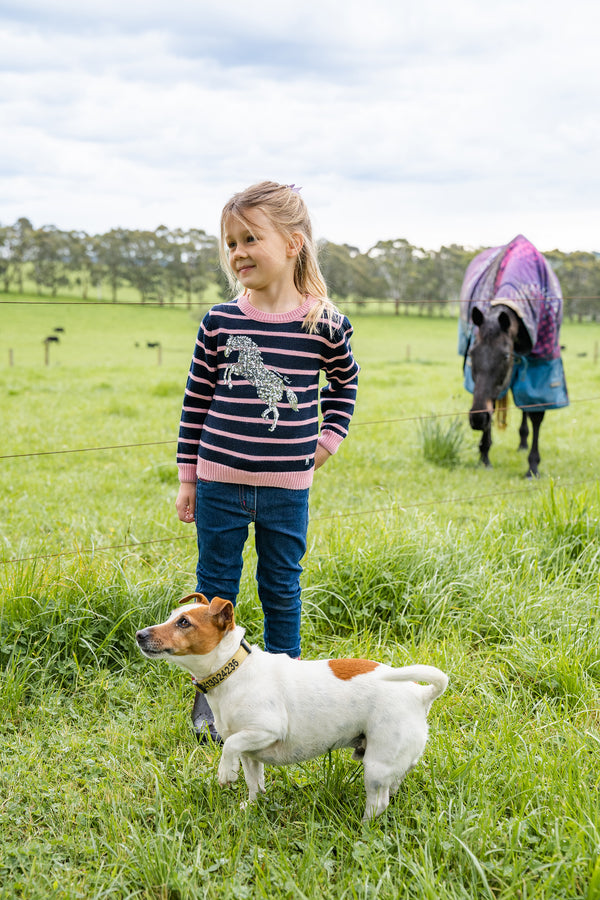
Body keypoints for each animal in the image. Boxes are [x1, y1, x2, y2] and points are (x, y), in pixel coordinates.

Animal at [135, 596, 446, 820]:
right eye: (172, 617)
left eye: (184, 622)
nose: (139, 634)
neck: (234, 670)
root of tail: (420, 694)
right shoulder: (250, 753)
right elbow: (254, 783)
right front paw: (251, 807)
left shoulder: (266, 730)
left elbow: (229, 747)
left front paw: (225, 773)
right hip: (389, 760)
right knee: (394, 785)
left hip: (376, 766)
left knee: (378, 803)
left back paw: (362, 825)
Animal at [460, 236, 568, 482]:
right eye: (472, 353)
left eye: (505, 355)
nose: (477, 419)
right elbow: (490, 400)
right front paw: (484, 456)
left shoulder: (540, 365)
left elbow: (536, 413)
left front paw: (532, 467)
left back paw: (523, 442)